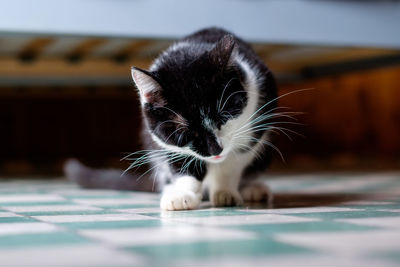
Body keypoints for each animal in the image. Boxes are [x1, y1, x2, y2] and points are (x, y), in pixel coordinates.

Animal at [65, 27, 278, 211]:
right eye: (185, 133)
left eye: (223, 118)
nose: (215, 150)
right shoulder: (161, 137)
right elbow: (181, 160)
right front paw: (182, 194)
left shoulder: (258, 120)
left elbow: (233, 161)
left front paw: (225, 192)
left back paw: (252, 189)